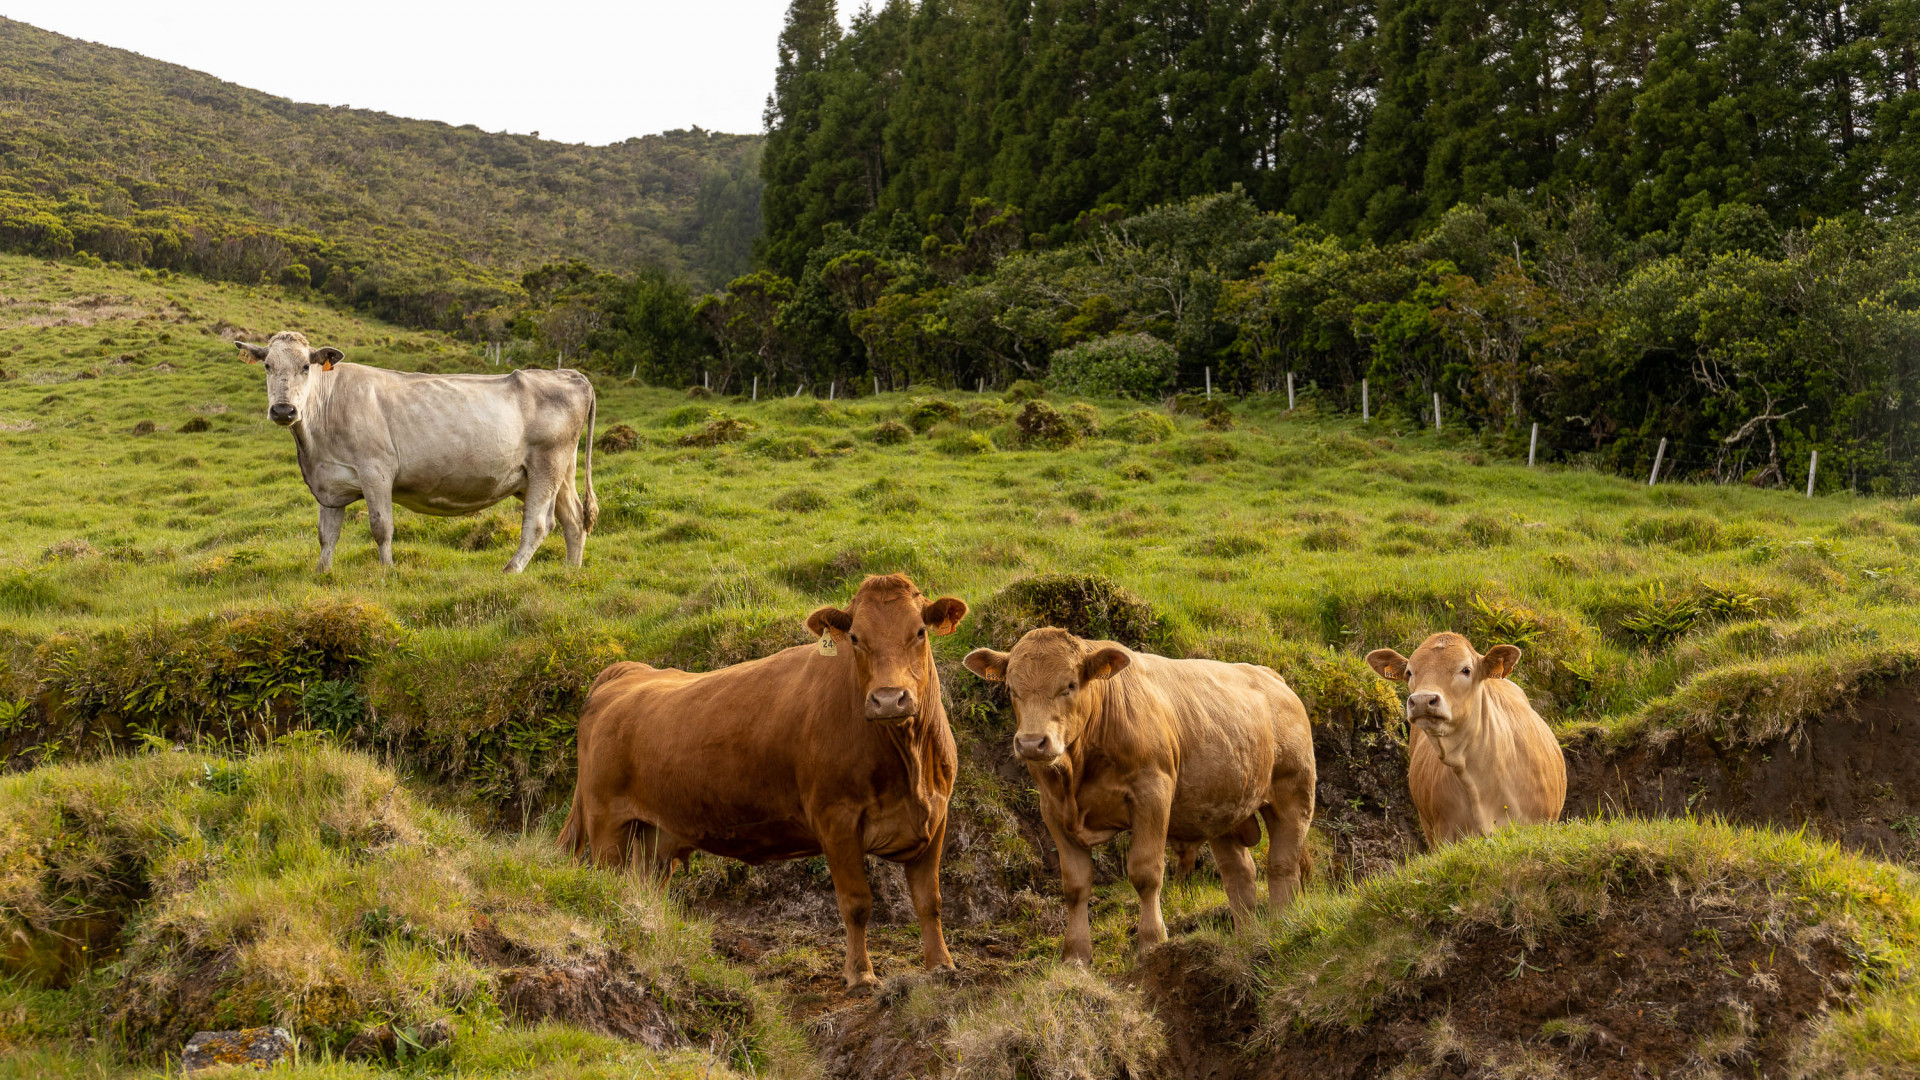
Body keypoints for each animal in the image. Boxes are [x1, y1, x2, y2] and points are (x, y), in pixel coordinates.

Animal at [236, 331, 597, 573]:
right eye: (267, 365)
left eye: (305, 367)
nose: (284, 410)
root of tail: (568, 373)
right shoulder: (329, 482)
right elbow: (327, 535)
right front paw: (322, 573)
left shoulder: (376, 470)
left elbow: (381, 526)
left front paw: (387, 572)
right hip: (558, 471)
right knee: (574, 519)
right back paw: (571, 571)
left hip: (546, 464)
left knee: (539, 523)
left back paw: (511, 570)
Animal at [560, 574, 968, 989]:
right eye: (855, 637)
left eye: (920, 632)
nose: (888, 699)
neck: (909, 765)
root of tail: (628, 671)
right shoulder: (836, 819)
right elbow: (857, 903)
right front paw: (861, 974)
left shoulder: (935, 816)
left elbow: (930, 901)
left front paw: (942, 965)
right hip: (607, 825)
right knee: (608, 886)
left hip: (653, 836)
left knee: (641, 894)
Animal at [964, 629, 1315, 965]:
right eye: (1012, 689)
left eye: (1070, 685)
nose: (1032, 742)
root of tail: (1271, 676)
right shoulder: (1053, 809)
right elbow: (1075, 885)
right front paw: (1075, 956)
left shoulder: (1152, 793)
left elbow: (1145, 872)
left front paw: (1152, 942)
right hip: (1222, 810)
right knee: (1239, 873)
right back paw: (1248, 938)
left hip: (1294, 793)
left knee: (1282, 864)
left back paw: (1281, 926)